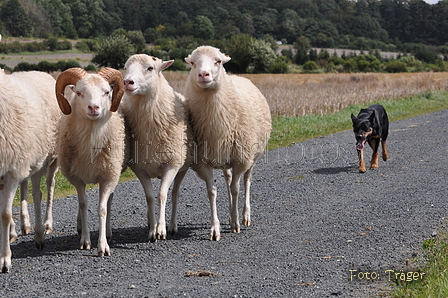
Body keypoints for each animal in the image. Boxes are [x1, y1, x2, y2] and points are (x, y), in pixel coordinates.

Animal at [0, 70, 60, 272]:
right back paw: (22, 226)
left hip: (44, 159)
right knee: (27, 187)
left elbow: (5, 214)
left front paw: (5, 259)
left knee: (41, 191)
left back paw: (41, 233)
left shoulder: (11, 171)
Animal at [56, 67, 127, 256]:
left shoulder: (108, 177)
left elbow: (102, 208)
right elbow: (83, 204)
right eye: (79, 93)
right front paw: (85, 241)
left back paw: (108, 232)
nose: (94, 107)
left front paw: (103, 246)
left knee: (109, 201)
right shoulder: (77, 178)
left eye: (107, 92)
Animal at [121, 54, 192, 243]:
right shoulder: (139, 168)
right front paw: (152, 230)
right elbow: (149, 197)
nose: (127, 82)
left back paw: (172, 226)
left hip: (182, 167)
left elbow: (162, 195)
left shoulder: (172, 165)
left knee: (175, 193)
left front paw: (161, 230)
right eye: (125, 67)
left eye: (150, 68)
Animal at [184, 47, 272, 242]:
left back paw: (245, 215)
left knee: (246, 181)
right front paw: (215, 228)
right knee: (228, 178)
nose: (203, 74)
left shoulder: (240, 159)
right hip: (225, 158)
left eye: (218, 61)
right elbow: (212, 192)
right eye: (193, 63)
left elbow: (236, 190)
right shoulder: (203, 162)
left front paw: (236, 224)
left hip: (251, 156)